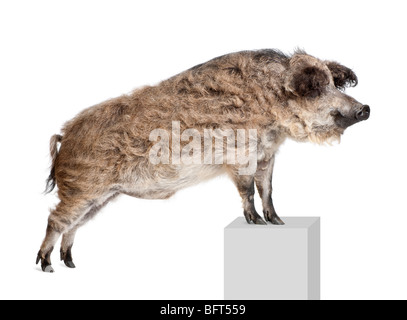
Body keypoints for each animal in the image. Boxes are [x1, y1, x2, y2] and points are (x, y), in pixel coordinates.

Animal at [37, 49, 370, 272]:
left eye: (333, 84)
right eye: (315, 88)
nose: (365, 108)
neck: (271, 107)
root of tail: (64, 136)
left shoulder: (267, 155)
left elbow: (268, 189)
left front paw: (278, 222)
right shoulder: (240, 154)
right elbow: (248, 190)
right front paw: (256, 222)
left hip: (101, 197)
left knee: (74, 225)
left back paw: (70, 265)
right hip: (82, 189)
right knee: (56, 219)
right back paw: (47, 266)